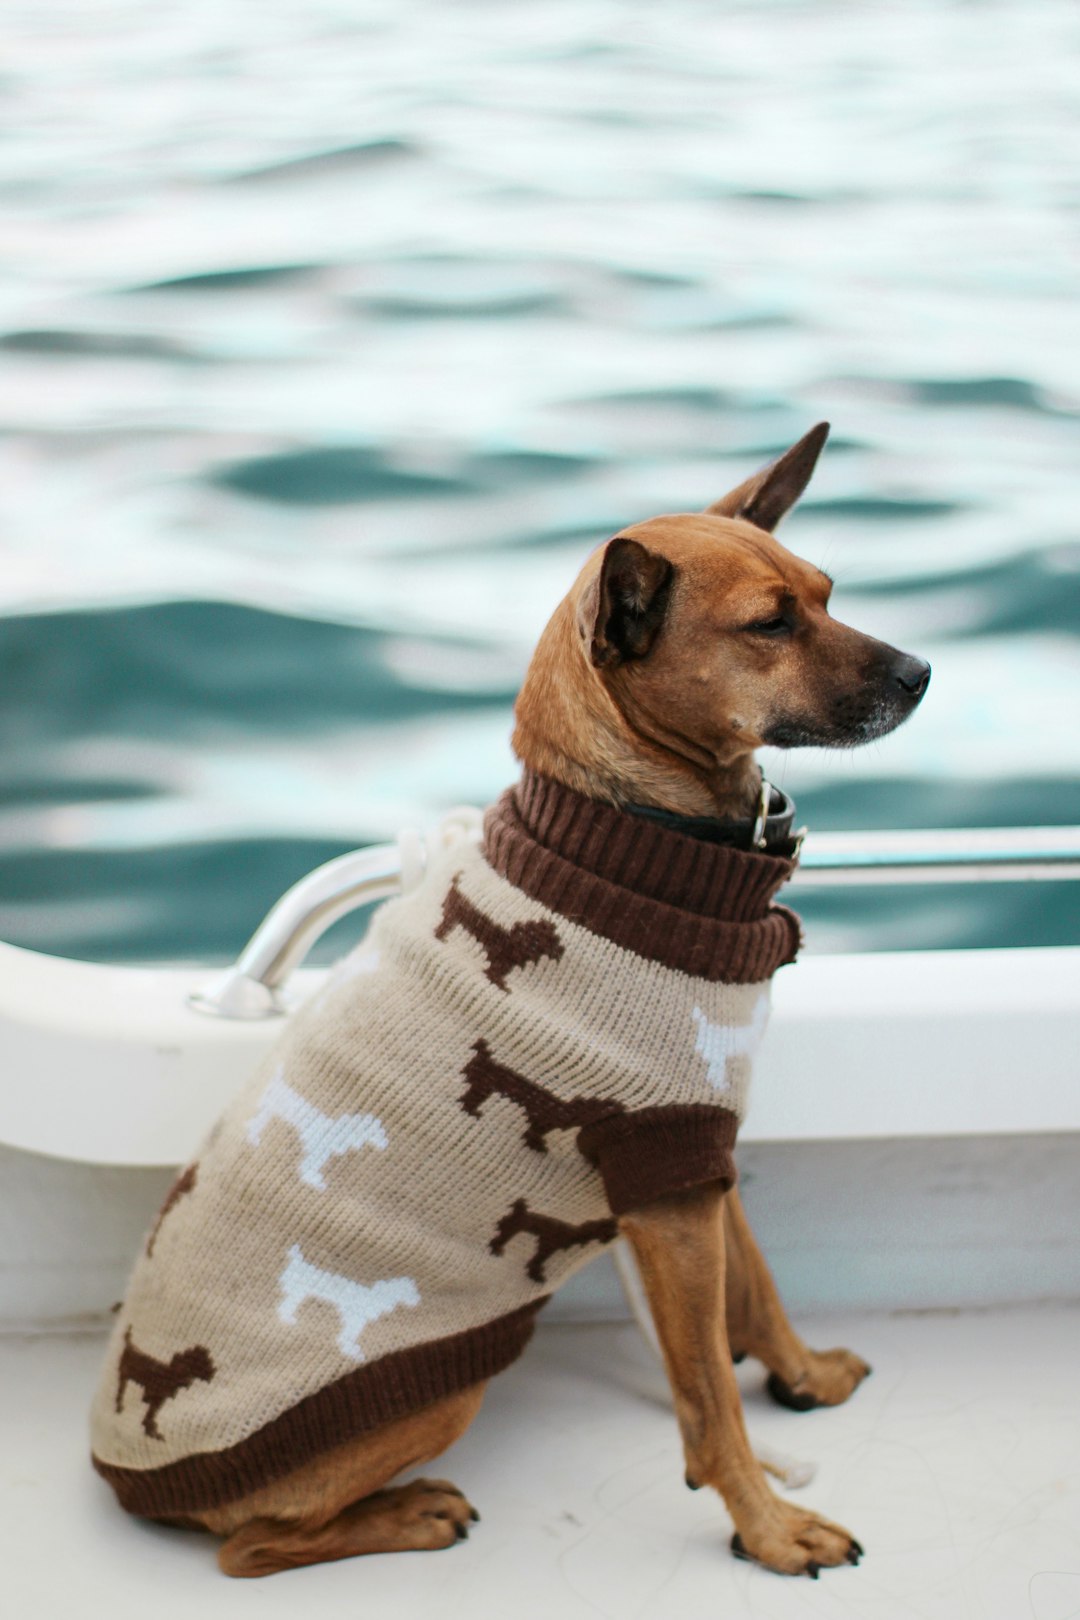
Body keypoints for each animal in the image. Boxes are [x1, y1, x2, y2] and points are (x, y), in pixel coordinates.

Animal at [124, 430, 932, 1581]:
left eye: (826, 592)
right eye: (770, 624)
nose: (922, 674)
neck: (631, 827)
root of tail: (125, 1477)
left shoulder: (694, 1154)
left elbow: (759, 1284)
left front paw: (804, 1374)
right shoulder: (669, 1185)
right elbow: (708, 1396)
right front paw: (768, 1527)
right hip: (432, 1401)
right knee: (254, 1549)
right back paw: (407, 1515)